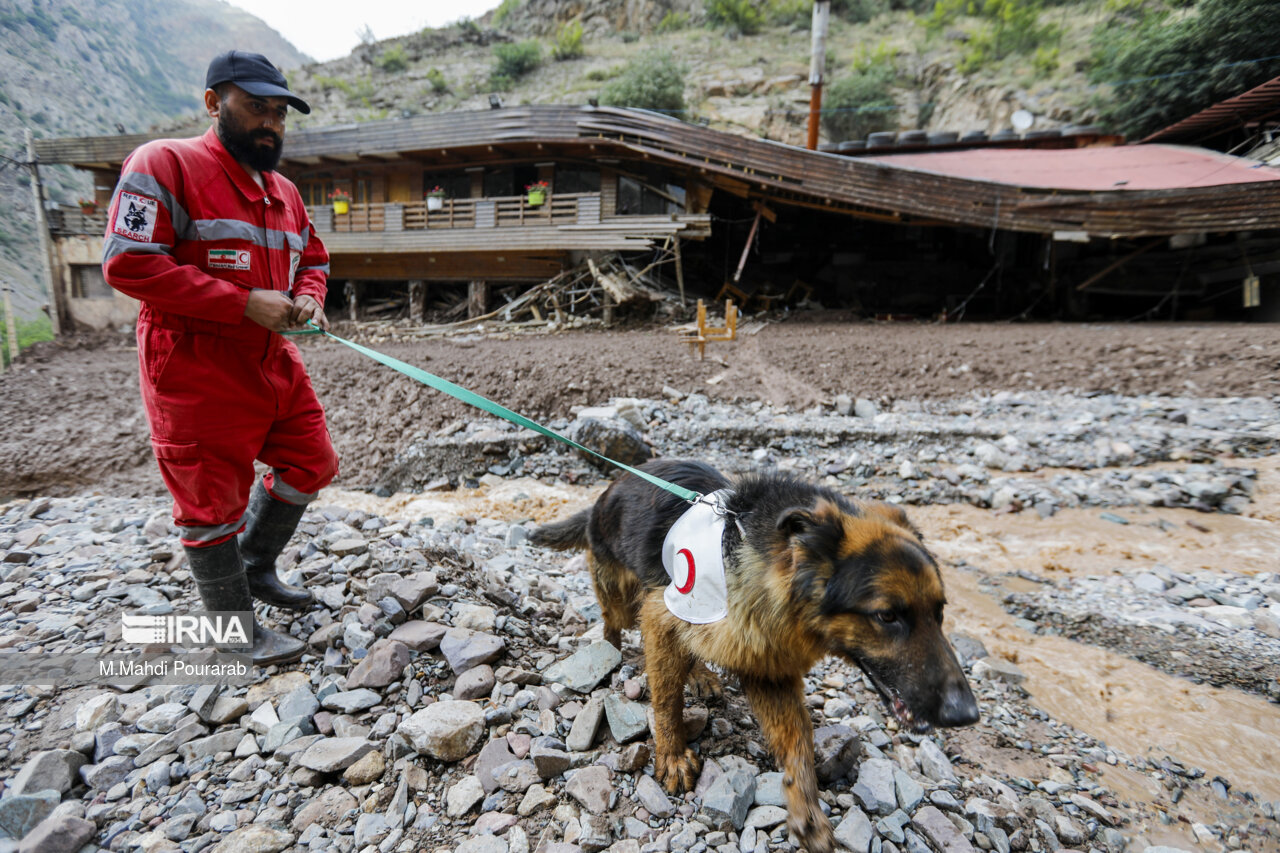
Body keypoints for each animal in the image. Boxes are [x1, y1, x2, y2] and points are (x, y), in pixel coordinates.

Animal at [529, 458, 977, 850]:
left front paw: (806, 810)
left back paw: (702, 674)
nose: (967, 714)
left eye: (940, 613)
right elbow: (667, 698)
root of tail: (615, 484)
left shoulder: (767, 667)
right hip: (622, 594)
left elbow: (798, 742)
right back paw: (611, 653)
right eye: (887, 616)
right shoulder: (663, 613)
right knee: (613, 623)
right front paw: (671, 753)